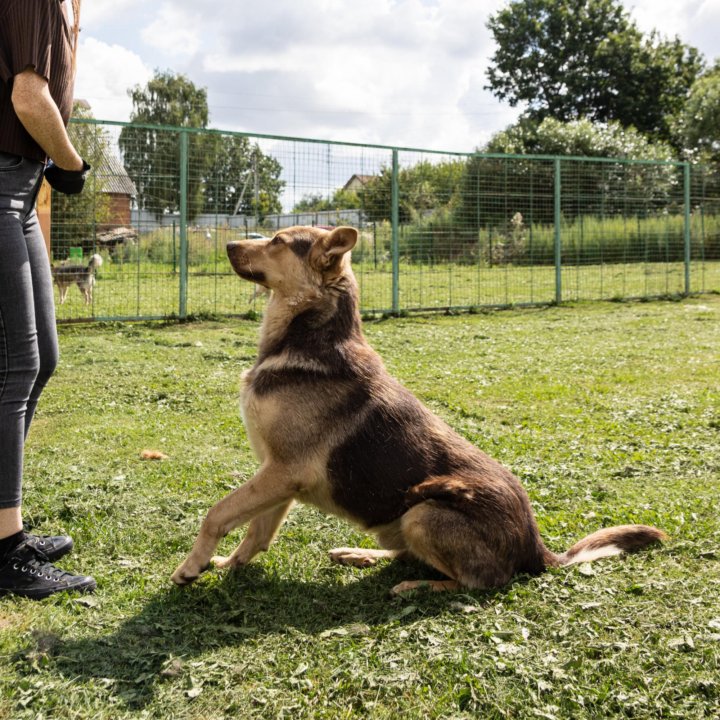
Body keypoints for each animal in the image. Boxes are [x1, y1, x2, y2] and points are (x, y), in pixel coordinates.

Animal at [172, 226, 668, 596]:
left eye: (276, 240)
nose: (226, 245)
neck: (306, 336)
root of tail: (537, 549)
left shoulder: (283, 471)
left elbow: (217, 513)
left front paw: (191, 566)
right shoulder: (278, 477)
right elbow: (256, 533)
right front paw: (227, 565)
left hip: (424, 511)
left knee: (480, 581)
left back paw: (417, 586)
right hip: (404, 520)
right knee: (410, 554)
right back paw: (361, 555)